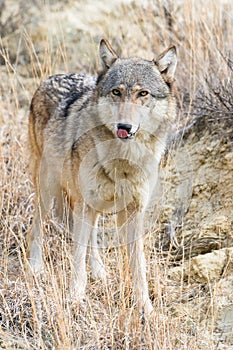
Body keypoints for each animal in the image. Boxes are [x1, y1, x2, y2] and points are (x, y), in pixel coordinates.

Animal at [27, 39, 177, 314]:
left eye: (143, 94)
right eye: (116, 92)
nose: (124, 126)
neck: (123, 160)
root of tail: (52, 77)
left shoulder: (134, 211)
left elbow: (138, 265)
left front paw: (146, 307)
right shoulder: (84, 203)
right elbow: (77, 258)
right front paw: (75, 298)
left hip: (90, 201)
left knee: (93, 236)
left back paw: (99, 272)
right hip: (47, 187)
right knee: (38, 225)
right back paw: (36, 267)